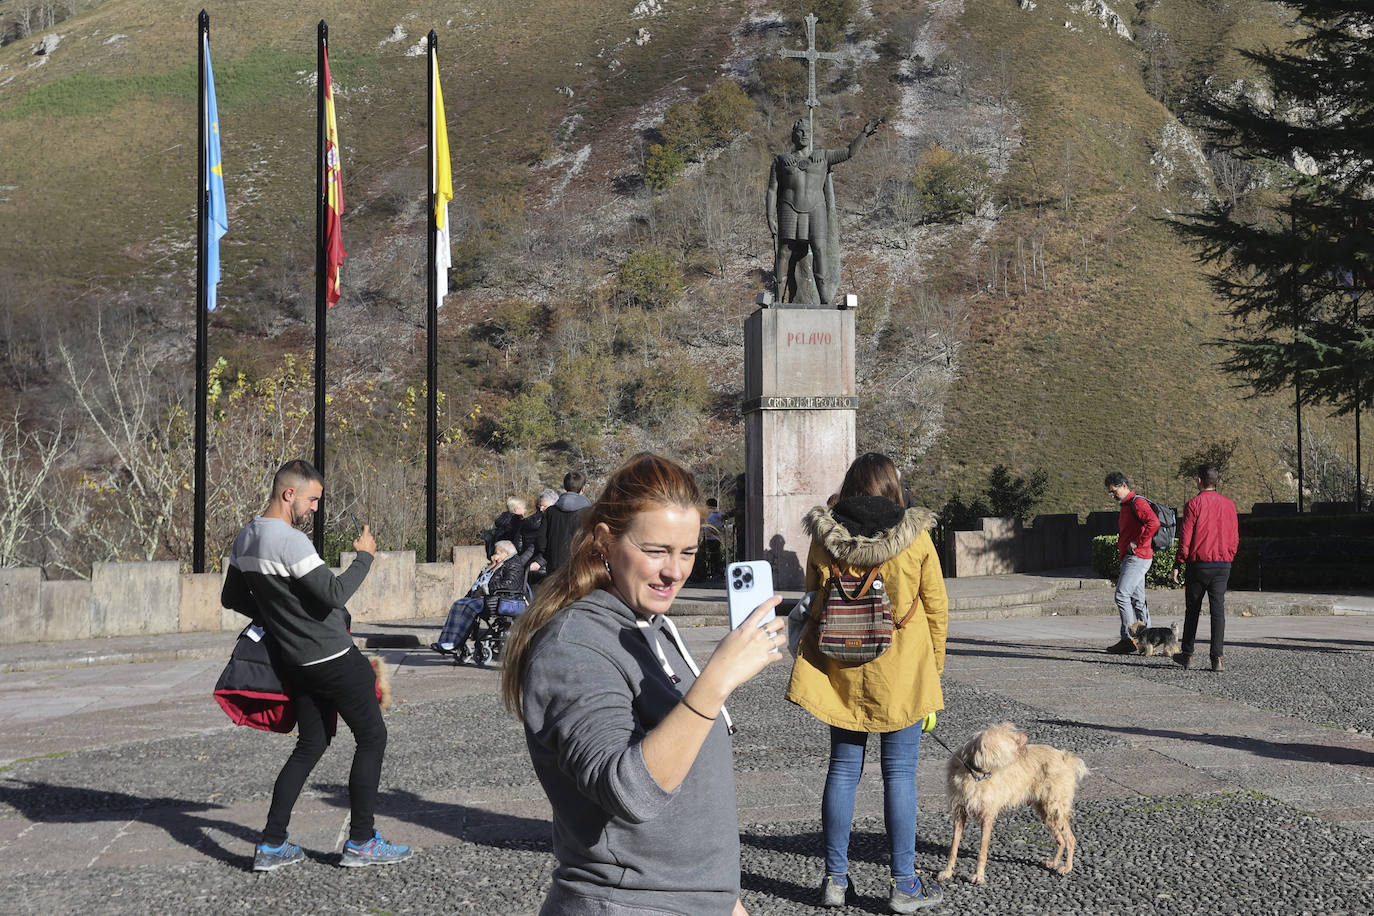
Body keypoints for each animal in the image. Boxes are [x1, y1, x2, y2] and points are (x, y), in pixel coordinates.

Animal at [939, 719, 1088, 884]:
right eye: (1010, 736)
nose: (1026, 735)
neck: (974, 772)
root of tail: (1064, 757)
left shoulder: (987, 817)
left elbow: (982, 850)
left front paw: (979, 875)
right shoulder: (959, 813)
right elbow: (953, 847)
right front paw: (948, 872)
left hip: (1055, 808)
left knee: (1070, 839)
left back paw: (1067, 867)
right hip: (1046, 812)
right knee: (1061, 840)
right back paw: (1054, 862)